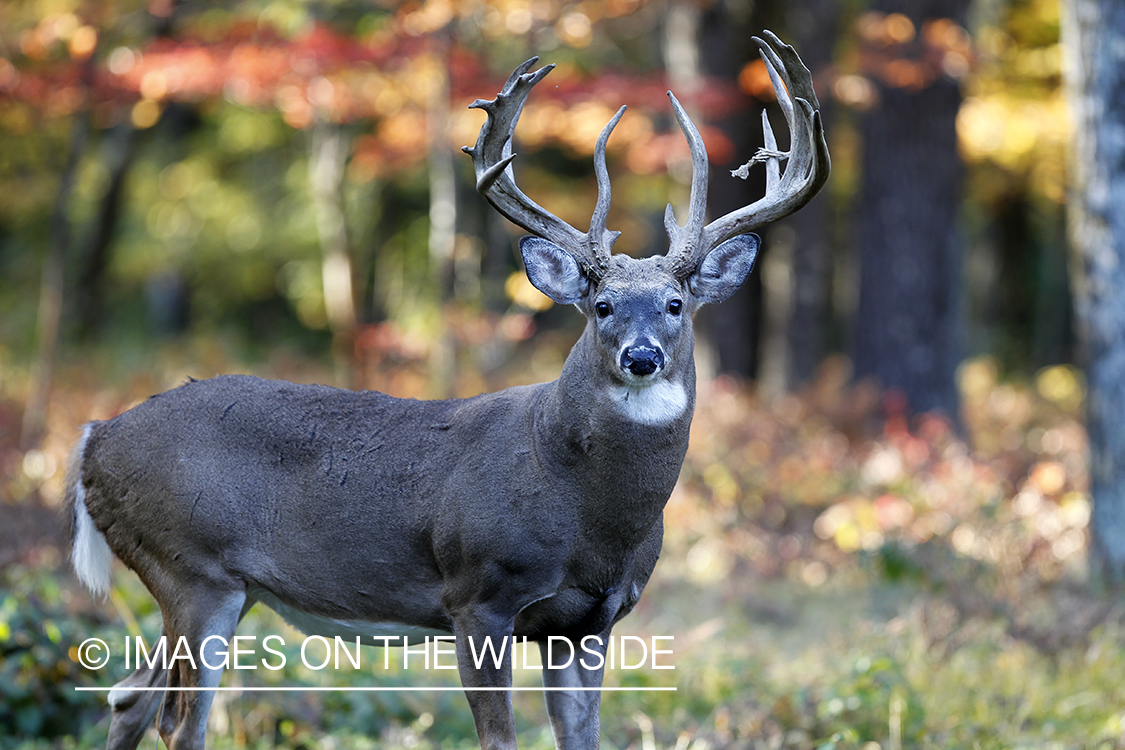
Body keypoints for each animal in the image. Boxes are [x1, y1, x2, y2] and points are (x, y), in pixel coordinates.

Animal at [68, 30, 828, 750]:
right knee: (177, 720)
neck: (591, 514)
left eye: (675, 304)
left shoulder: (591, 619)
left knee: (128, 696)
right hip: (192, 568)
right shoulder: (477, 593)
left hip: (223, 586)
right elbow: (499, 736)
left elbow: (582, 737)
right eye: (602, 306)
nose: (641, 357)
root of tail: (92, 441)